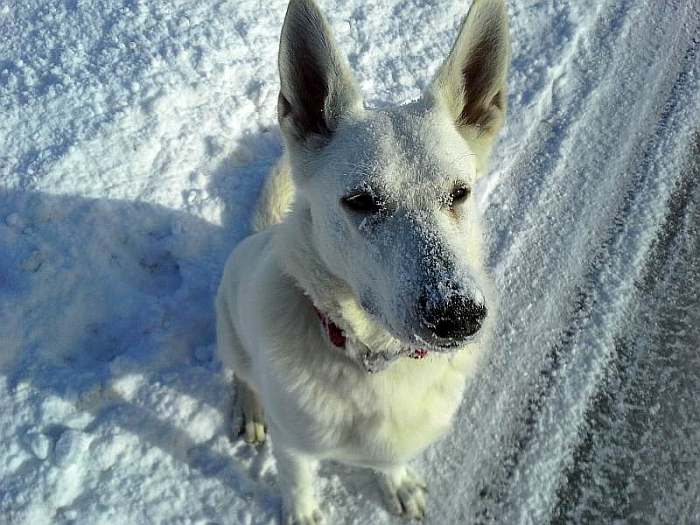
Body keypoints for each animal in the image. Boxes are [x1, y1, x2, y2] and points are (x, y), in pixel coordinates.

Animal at [216, 1, 512, 520]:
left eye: (460, 193)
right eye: (360, 201)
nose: (458, 316)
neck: (374, 357)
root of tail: (256, 236)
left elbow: (388, 461)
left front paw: (396, 483)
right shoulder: (293, 448)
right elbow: (298, 485)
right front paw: (302, 515)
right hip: (230, 331)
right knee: (242, 374)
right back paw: (251, 408)